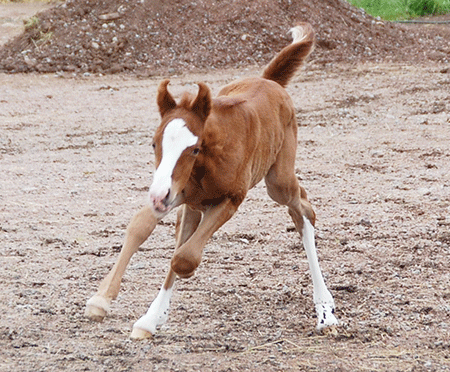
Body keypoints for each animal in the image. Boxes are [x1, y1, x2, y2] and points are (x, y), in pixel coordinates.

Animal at [85, 21, 338, 338]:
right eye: (154, 144)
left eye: (194, 149)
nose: (158, 195)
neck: (209, 159)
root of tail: (270, 82)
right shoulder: (179, 191)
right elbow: (142, 226)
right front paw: (103, 301)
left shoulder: (230, 199)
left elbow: (184, 257)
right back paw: (151, 317)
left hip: (278, 182)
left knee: (303, 209)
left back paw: (325, 310)